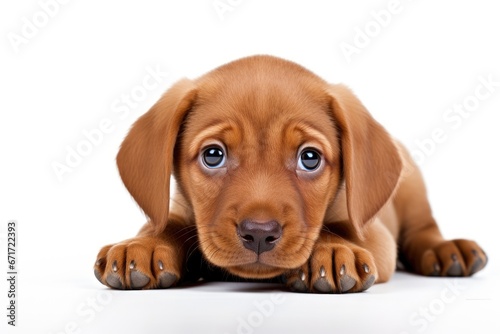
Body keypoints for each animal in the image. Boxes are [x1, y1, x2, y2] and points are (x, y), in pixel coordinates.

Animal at [93, 56, 484, 294]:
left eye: (309, 158)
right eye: (213, 156)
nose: (259, 234)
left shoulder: (376, 236)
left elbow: (334, 229)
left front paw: (331, 252)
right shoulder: (178, 210)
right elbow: (165, 224)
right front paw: (143, 245)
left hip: (413, 192)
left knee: (424, 229)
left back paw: (447, 250)